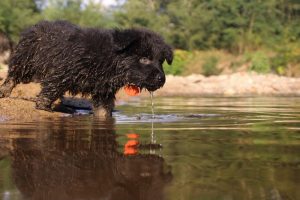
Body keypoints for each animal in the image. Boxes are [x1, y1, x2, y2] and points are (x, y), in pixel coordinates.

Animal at [0, 19, 172, 117]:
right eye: (144, 59)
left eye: (161, 61)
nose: (161, 79)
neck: (110, 58)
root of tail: (37, 25)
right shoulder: (62, 71)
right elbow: (51, 90)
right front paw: (43, 106)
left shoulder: (104, 92)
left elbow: (103, 112)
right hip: (25, 61)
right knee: (12, 76)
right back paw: (4, 92)